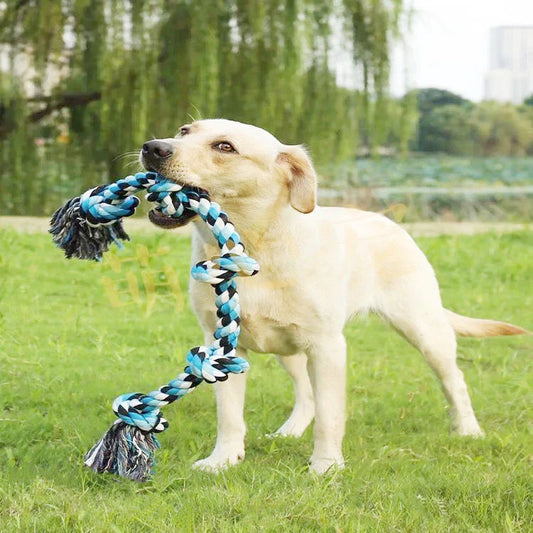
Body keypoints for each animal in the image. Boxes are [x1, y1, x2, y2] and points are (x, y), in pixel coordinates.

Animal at [139, 118, 524, 472]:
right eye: (184, 131)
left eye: (224, 147)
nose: (153, 147)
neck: (255, 250)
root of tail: (390, 222)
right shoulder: (221, 345)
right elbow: (230, 415)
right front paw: (223, 460)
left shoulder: (327, 347)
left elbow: (329, 416)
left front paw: (325, 466)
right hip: (288, 348)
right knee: (306, 395)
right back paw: (289, 431)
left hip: (425, 330)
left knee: (455, 382)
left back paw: (469, 430)